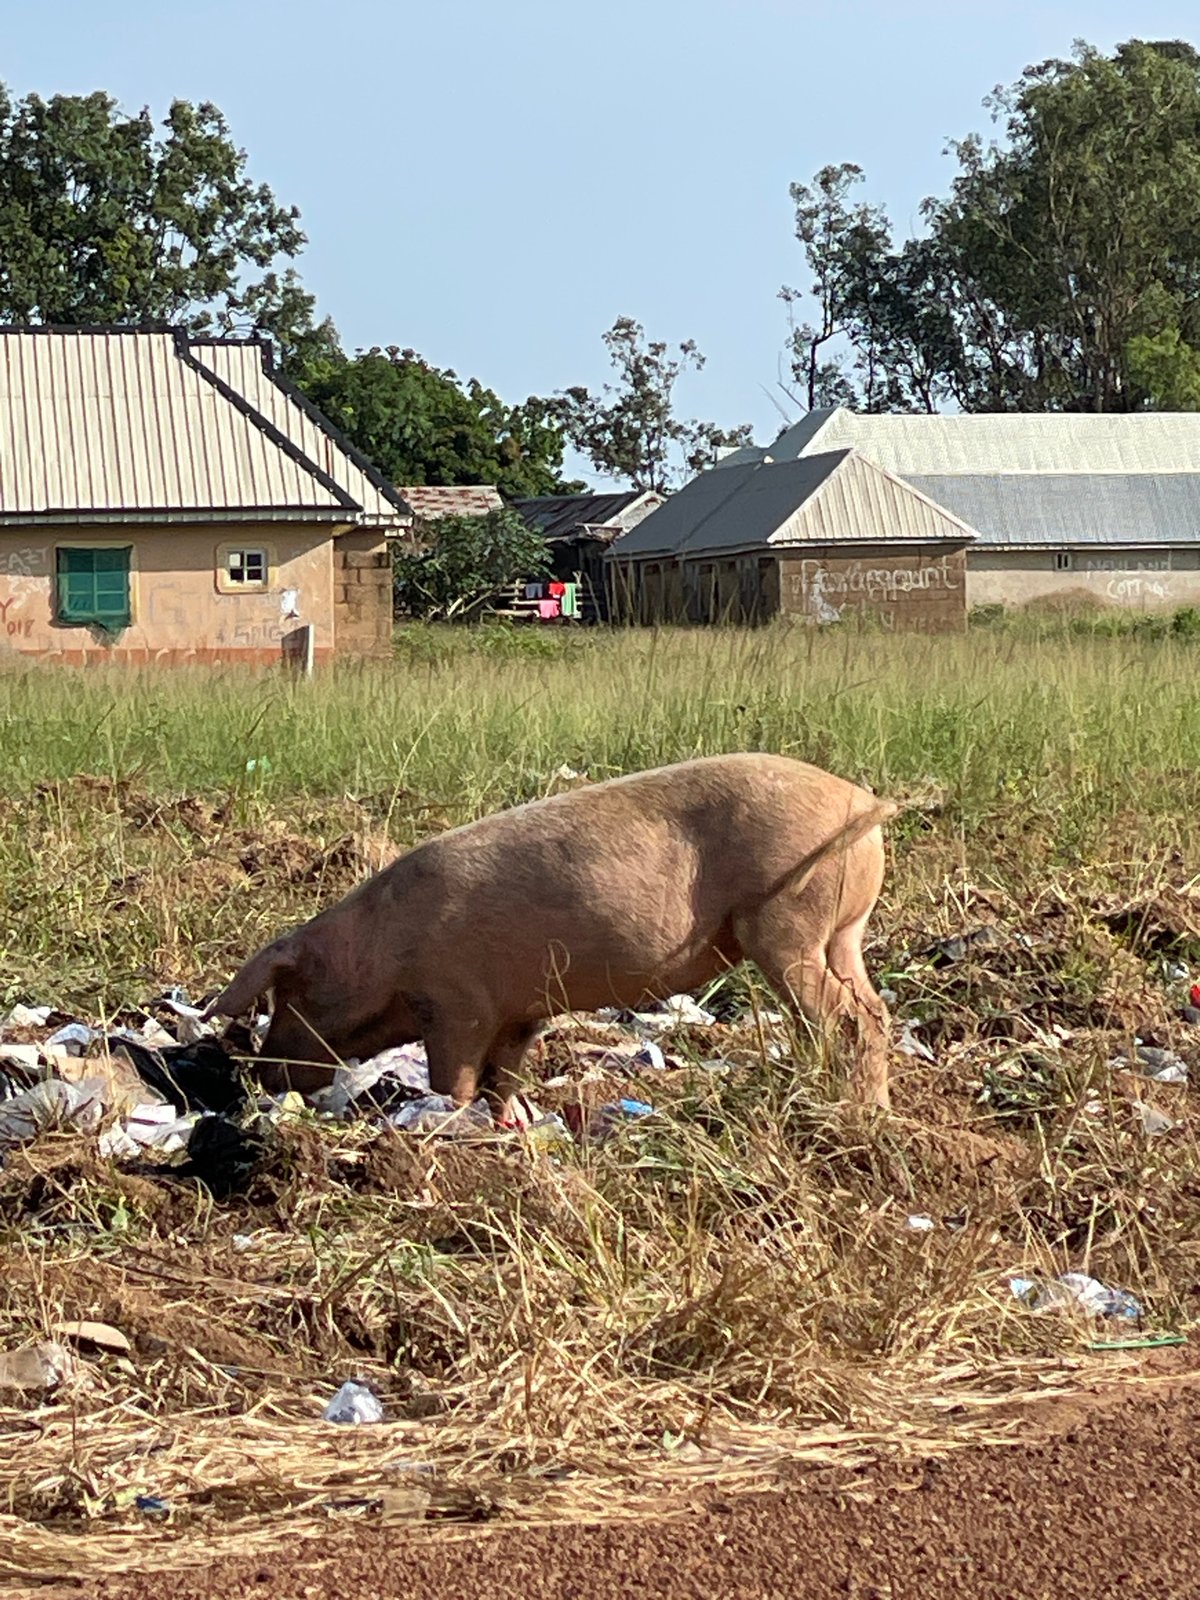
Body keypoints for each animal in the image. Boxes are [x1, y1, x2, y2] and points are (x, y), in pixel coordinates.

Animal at [209, 753, 898, 1114]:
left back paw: (852, 1110)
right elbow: (503, 1079)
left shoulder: (456, 1002)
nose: (262, 1077)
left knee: (844, 1019)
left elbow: (455, 1078)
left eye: (286, 996)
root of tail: (861, 802)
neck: (380, 953)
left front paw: (451, 1120)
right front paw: (511, 1126)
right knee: (874, 1010)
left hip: (787, 923)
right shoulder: (519, 1012)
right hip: (844, 932)